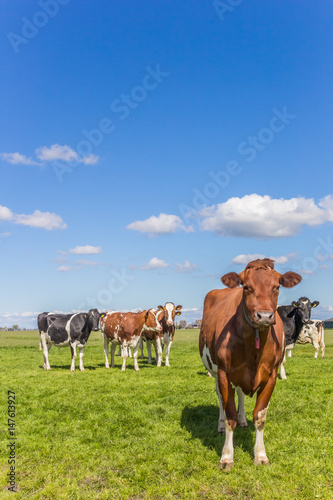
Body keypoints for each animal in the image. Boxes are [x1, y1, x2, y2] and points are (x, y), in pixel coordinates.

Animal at [197, 258, 300, 468]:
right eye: (246, 287)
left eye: (277, 287)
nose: (265, 316)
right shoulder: (224, 373)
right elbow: (230, 416)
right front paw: (226, 457)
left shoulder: (271, 376)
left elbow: (260, 417)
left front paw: (260, 455)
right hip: (216, 371)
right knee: (220, 397)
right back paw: (220, 424)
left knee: (241, 395)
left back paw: (243, 420)